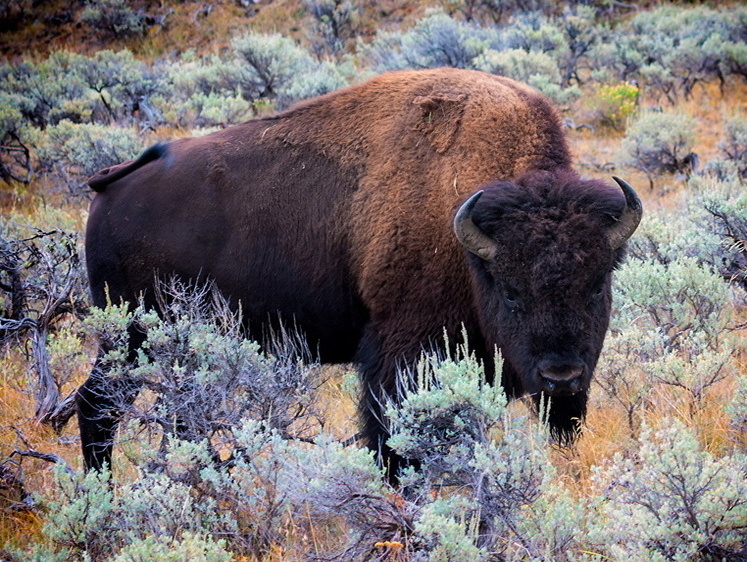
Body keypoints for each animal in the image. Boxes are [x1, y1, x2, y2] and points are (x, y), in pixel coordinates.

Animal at [80, 68, 644, 482]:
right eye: (510, 292)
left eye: (597, 285)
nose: (561, 378)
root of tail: (113, 186)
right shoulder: (400, 352)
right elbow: (391, 439)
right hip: (132, 334)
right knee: (97, 404)